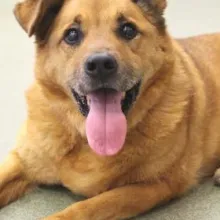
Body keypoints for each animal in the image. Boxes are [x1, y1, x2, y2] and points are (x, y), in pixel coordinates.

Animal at [0, 0, 220, 219]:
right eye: (72, 34)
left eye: (128, 30)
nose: (100, 64)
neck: (86, 141)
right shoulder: (22, 159)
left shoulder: (157, 185)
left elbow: (90, 207)